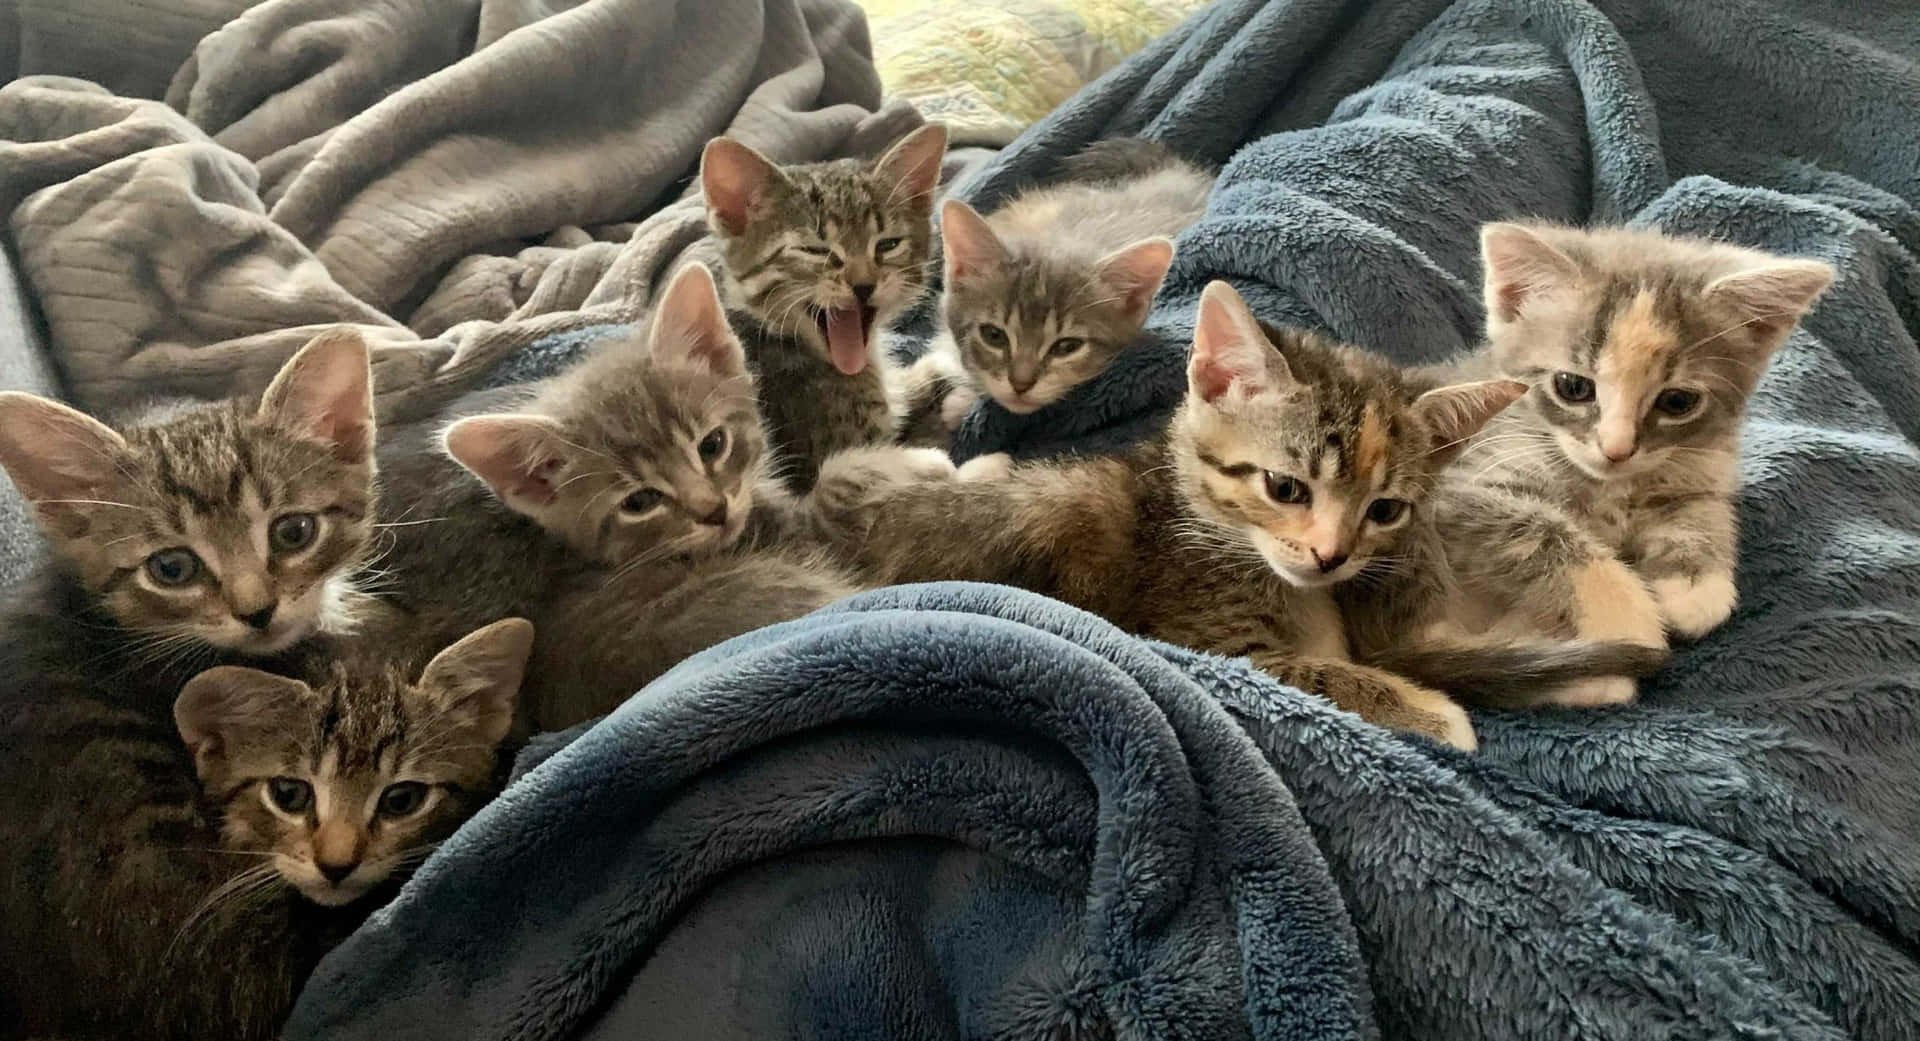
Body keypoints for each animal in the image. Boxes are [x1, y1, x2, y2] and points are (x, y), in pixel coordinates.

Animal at [806, 276, 1543, 752]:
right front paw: (1433, 710)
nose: (1331, 554)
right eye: (1286, 488)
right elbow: (1312, 672)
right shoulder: (1200, 642)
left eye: (1385, 509)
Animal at [1420, 224, 1835, 706]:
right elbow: (1543, 530)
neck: (1610, 487)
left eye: (1678, 402)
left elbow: (1704, 503)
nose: (1616, 449)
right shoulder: (1451, 483)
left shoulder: (1703, 461)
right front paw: (1630, 618)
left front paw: (1694, 581)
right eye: (1572, 386)